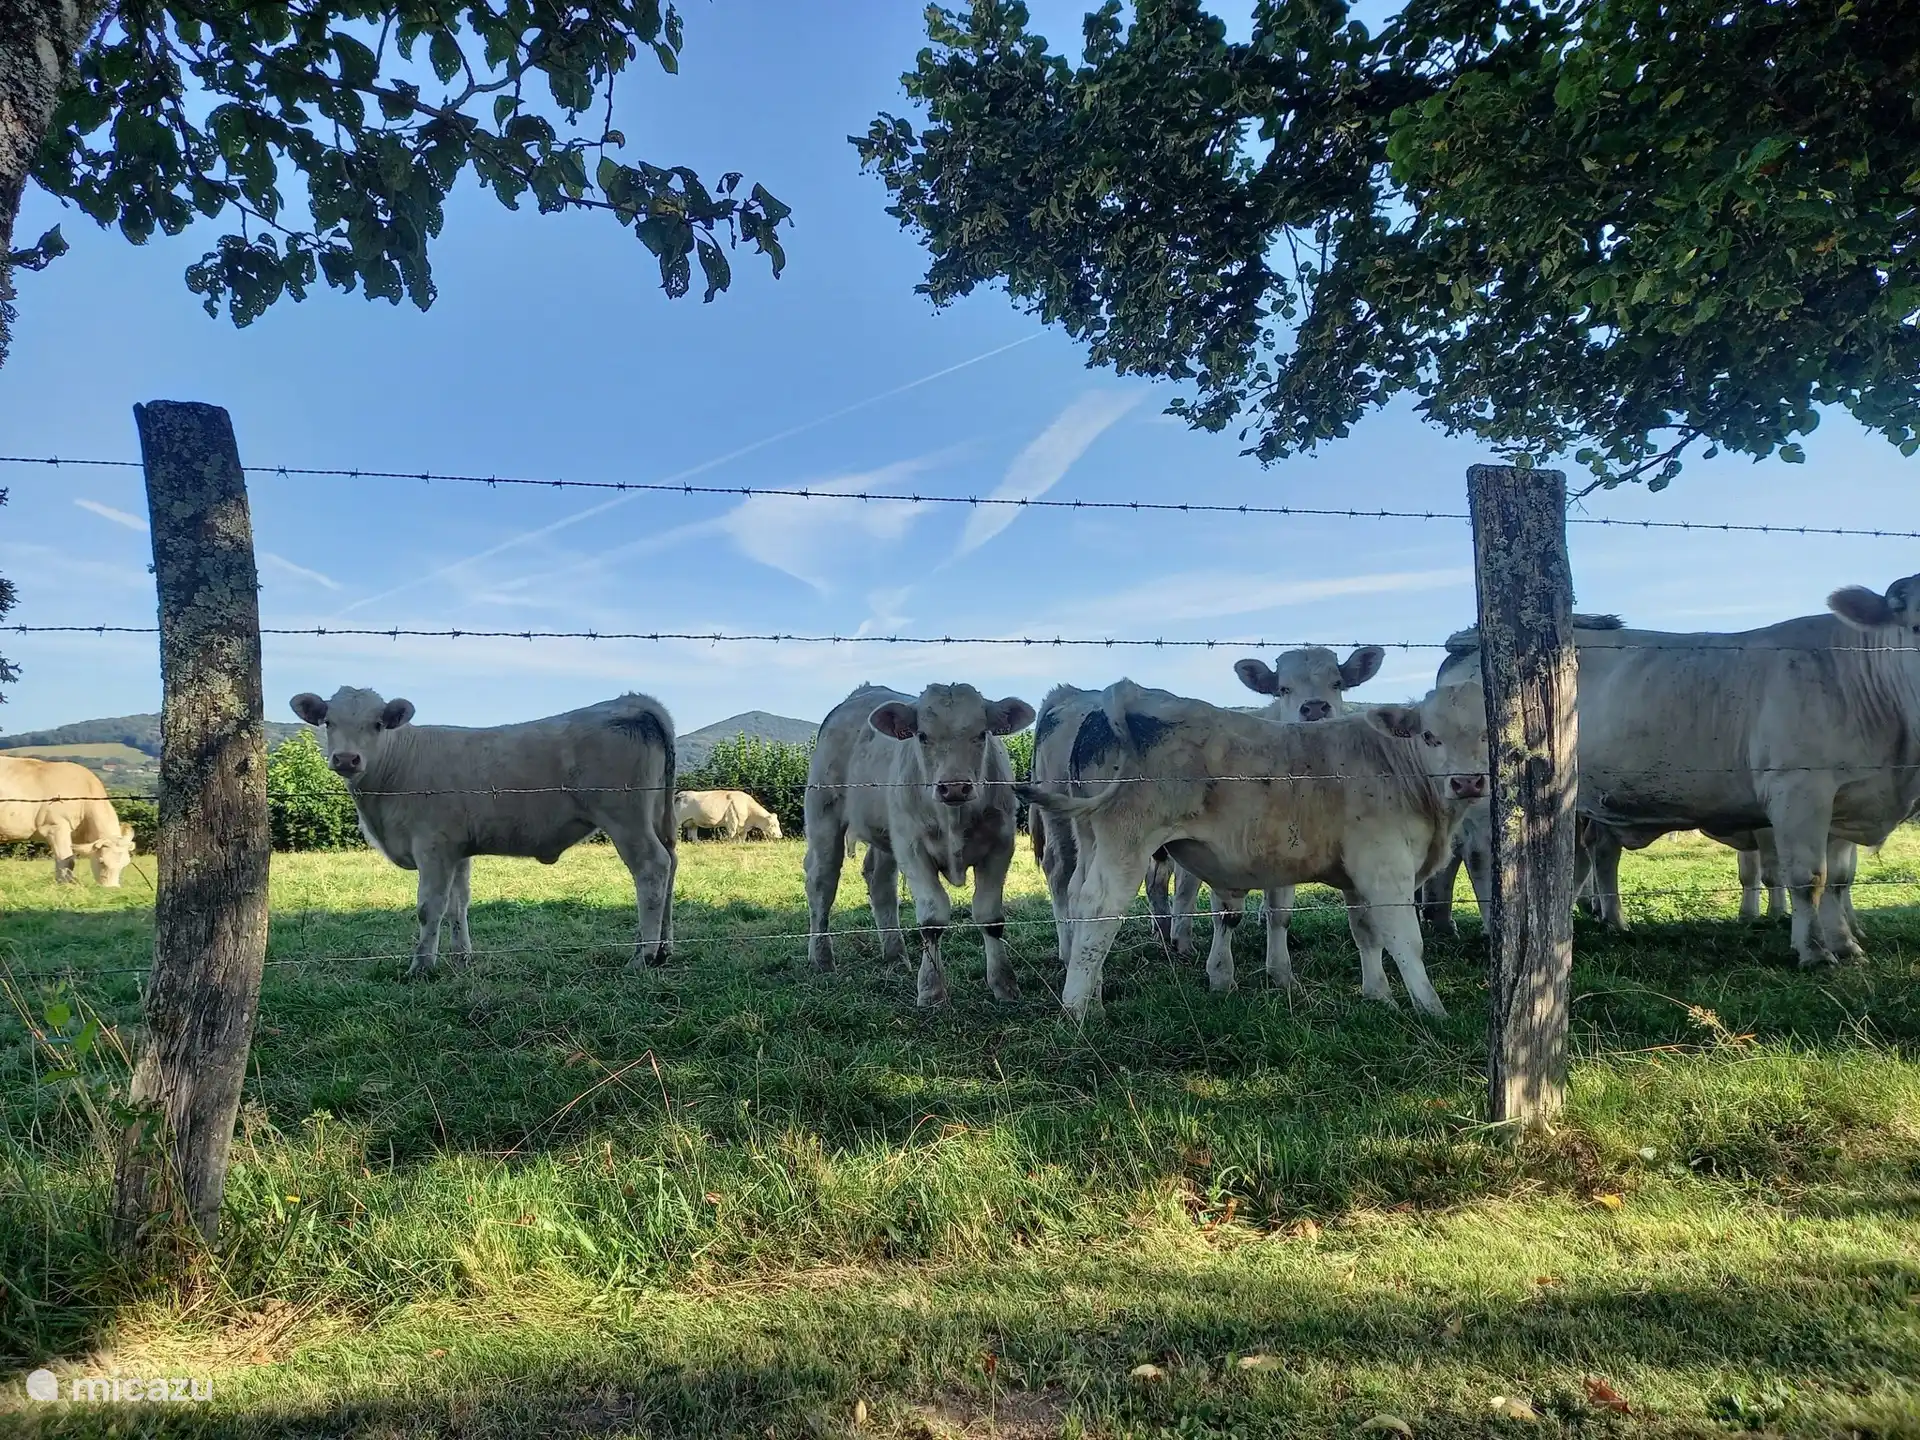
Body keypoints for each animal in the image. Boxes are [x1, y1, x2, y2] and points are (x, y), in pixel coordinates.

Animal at [0, 755, 137, 886]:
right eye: (101, 861)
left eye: (125, 864)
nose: (112, 889)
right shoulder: (54, 827)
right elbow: (67, 860)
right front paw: (66, 885)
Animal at [289, 687, 677, 978]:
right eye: (328, 721)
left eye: (378, 724)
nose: (346, 759)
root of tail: (632, 701)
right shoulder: (457, 850)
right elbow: (457, 905)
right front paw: (462, 959)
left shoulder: (432, 846)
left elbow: (429, 907)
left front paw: (421, 967)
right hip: (658, 814)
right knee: (671, 863)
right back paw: (663, 949)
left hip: (625, 817)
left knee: (652, 868)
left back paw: (642, 956)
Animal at [804, 682, 1034, 1006]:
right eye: (923, 735)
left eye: (981, 733)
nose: (954, 787)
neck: (954, 818)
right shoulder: (913, 849)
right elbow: (932, 918)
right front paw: (931, 989)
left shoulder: (1000, 846)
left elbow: (990, 917)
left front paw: (1004, 984)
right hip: (824, 816)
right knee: (822, 884)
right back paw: (822, 957)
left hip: (887, 835)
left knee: (879, 883)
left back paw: (895, 954)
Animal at [1022, 678, 1490, 1018]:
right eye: (1429, 735)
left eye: (1488, 733)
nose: (1467, 781)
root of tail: (1120, 693)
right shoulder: (1385, 868)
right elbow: (1406, 940)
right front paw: (1432, 1010)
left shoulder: (1357, 878)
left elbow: (1367, 935)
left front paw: (1379, 996)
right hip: (1126, 839)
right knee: (1099, 907)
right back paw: (1078, 1009)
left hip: (1089, 835)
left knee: (1077, 897)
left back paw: (1093, 995)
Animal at [1143, 644, 1387, 983]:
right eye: (1283, 688)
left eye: (1337, 683)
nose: (1314, 708)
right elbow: (1226, 912)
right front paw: (1221, 973)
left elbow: (1280, 913)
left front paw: (1281, 973)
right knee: (1178, 888)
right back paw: (1178, 938)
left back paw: (1166, 931)